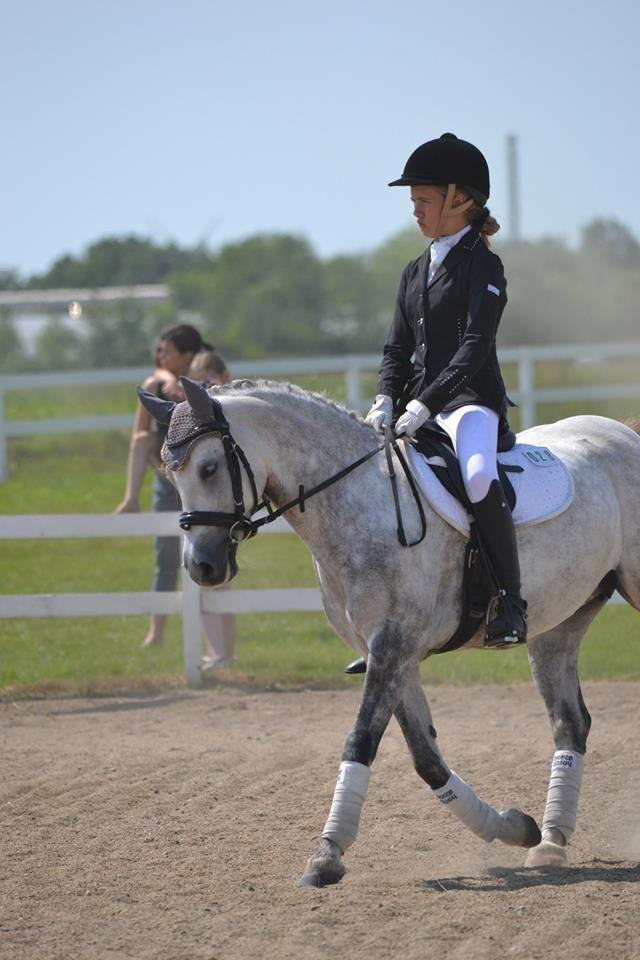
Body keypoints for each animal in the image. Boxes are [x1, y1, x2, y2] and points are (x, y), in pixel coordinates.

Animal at [140, 378, 640, 888]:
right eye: (171, 475)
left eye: (208, 467)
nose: (202, 567)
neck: (357, 502)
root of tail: (623, 432)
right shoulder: (390, 654)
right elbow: (426, 758)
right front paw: (512, 826)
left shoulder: (392, 647)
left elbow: (361, 740)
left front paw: (326, 855)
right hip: (559, 625)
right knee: (570, 723)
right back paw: (550, 843)